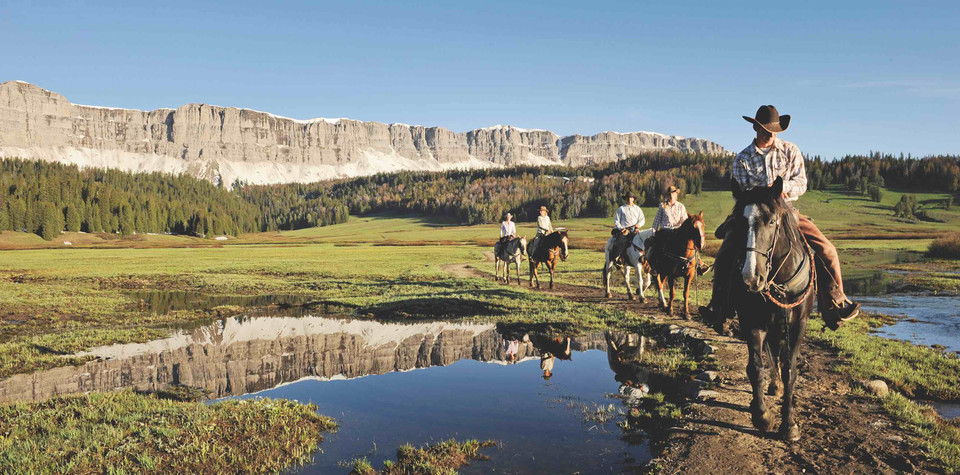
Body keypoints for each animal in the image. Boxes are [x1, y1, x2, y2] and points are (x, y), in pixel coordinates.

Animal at [732, 178, 812, 442]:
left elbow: (790, 371)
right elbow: (755, 367)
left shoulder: (797, 325)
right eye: (739, 221)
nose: (750, 278)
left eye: (771, 221)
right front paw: (762, 416)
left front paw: (789, 425)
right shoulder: (752, 321)